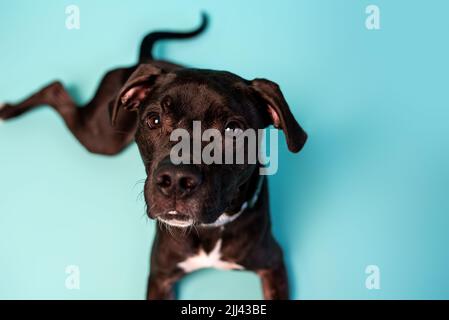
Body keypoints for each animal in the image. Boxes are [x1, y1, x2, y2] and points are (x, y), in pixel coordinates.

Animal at [0, 14, 306, 300]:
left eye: (232, 129)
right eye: (154, 120)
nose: (176, 180)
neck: (209, 230)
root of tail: (148, 59)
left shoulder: (272, 264)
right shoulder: (160, 275)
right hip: (103, 136)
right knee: (55, 88)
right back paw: (11, 111)